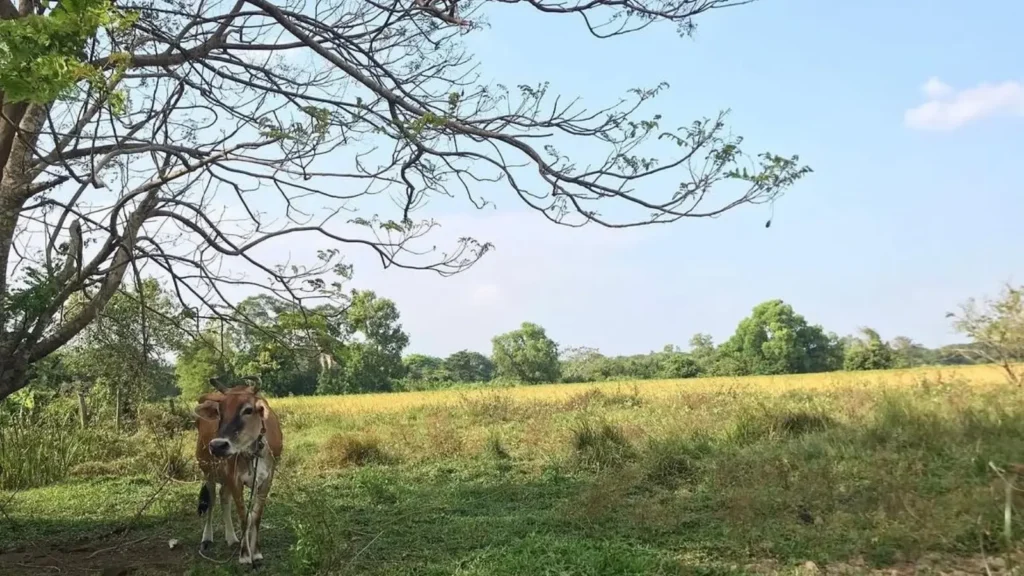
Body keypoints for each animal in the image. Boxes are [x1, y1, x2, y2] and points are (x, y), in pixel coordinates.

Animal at [193, 376, 283, 566]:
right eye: (219, 411)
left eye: (248, 410)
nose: (218, 446)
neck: (253, 451)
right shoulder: (234, 478)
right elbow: (244, 517)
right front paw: (245, 555)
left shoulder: (267, 479)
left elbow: (255, 517)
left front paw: (256, 552)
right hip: (208, 471)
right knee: (212, 500)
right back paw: (207, 538)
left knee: (223, 497)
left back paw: (232, 538)